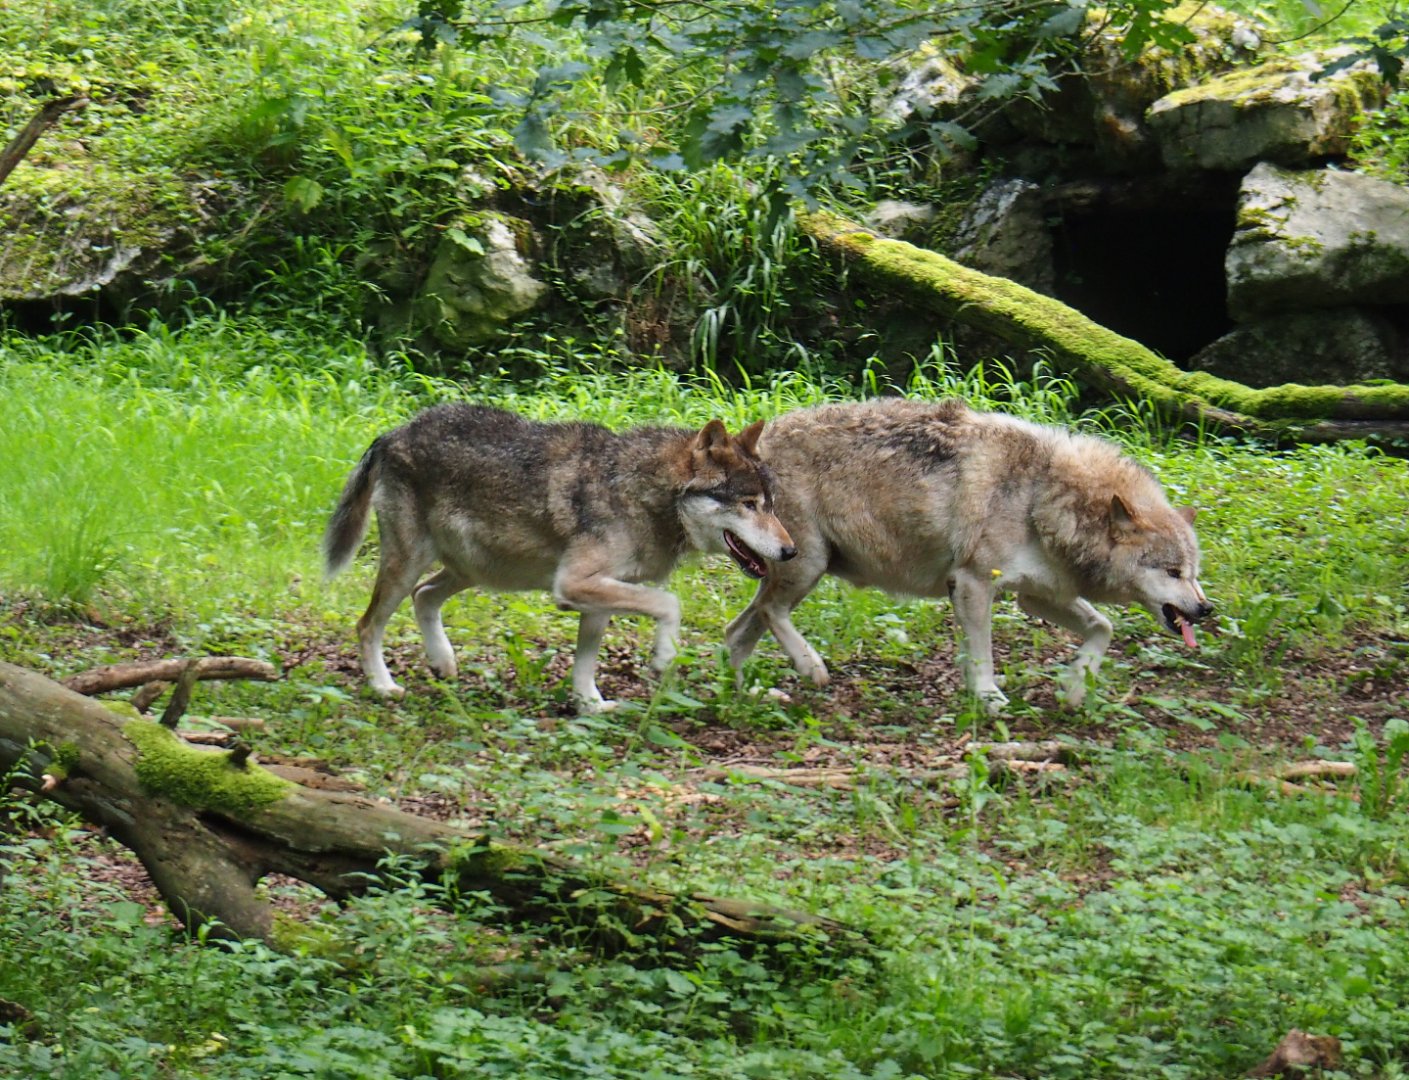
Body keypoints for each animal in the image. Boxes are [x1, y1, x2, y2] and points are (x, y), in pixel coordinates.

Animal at [324, 403, 797, 712]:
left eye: (772, 505)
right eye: (749, 505)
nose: (790, 551)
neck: (643, 491)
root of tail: (395, 432)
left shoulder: (598, 597)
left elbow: (585, 662)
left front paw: (591, 706)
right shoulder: (573, 584)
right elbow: (669, 603)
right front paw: (664, 655)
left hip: (471, 570)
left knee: (424, 596)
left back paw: (443, 662)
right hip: (411, 565)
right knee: (367, 625)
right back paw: (384, 687)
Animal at [725, 398, 1212, 711]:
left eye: (1193, 574)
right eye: (1172, 572)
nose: (1206, 609)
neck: (1044, 496)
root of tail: (753, 446)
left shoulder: (1036, 596)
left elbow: (1103, 628)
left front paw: (1075, 688)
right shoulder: (973, 583)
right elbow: (982, 654)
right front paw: (987, 697)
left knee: (735, 631)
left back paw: (745, 698)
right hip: (807, 565)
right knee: (768, 612)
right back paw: (811, 667)